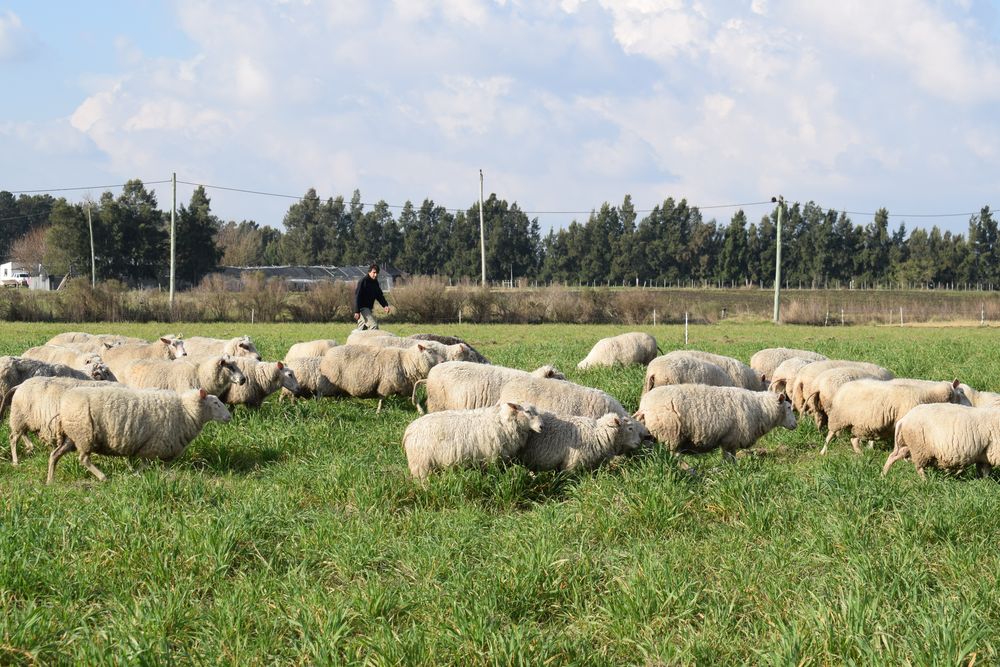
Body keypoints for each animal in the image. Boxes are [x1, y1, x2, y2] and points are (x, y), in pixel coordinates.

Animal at [49, 386, 232, 483]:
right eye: (216, 403)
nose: (229, 417)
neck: (185, 410)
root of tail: (62, 405)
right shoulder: (151, 447)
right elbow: (145, 465)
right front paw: (136, 473)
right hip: (83, 435)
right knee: (83, 459)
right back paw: (103, 477)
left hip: (71, 437)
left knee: (54, 455)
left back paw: (49, 481)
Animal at [403, 402, 544, 480]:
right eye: (527, 411)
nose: (542, 426)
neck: (504, 422)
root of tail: (409, 430)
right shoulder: (491, 457)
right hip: (421, 464)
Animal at [634, 384, 797, 460]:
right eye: (789, 407)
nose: (795, 425)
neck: (761, 409)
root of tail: (644, 407)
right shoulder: (731, 439)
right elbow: (730, 459)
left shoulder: (728, 440)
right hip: (670, 435)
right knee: (674, 457)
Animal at [821, 378, 966, 455]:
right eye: (960, 393)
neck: (929, 396)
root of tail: (843, 387)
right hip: (838, 418)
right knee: (830, 435)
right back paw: (823, 451)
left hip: (859, 424)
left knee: (854, 439)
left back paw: (861, 453)